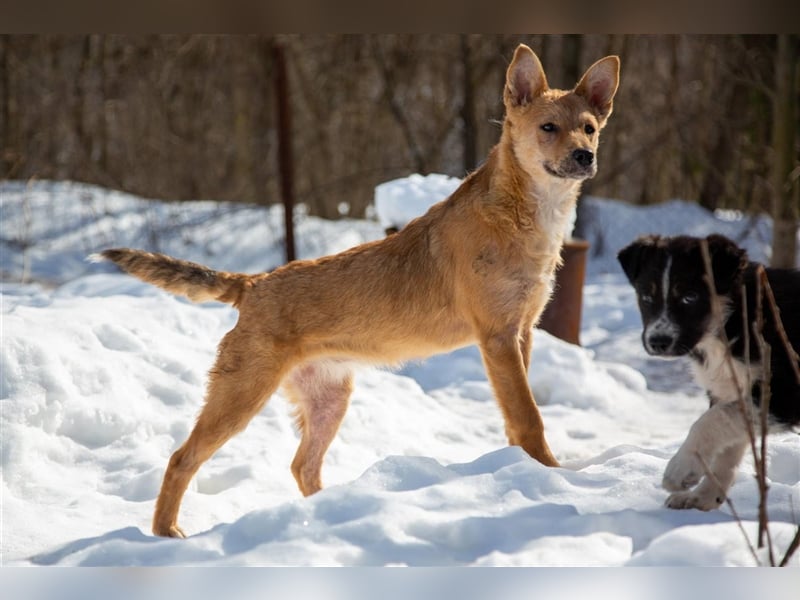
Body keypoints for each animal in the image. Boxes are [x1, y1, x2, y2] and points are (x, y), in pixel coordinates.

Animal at [94, 44, 620, 536]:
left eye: (590, 127)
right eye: (548, 127)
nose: (585, 156)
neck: (525, 215)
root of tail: (253, 285)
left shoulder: (521, 333)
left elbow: (515, 418)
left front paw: (525, 475)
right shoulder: (497, 337)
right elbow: (529, 417)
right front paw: (553, 476)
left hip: (330, 400)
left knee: (302, 466)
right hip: (241, 396)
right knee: (181, 458)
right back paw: (167, 532)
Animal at [620, 234, 800, 510]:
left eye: (690, 297)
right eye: (646, 297)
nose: (658, 342)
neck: (733, 318)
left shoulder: (782, 392)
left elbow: (710, 420)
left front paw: (680, 468)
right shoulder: (731, 388)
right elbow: (728, 449)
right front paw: (703, 497)